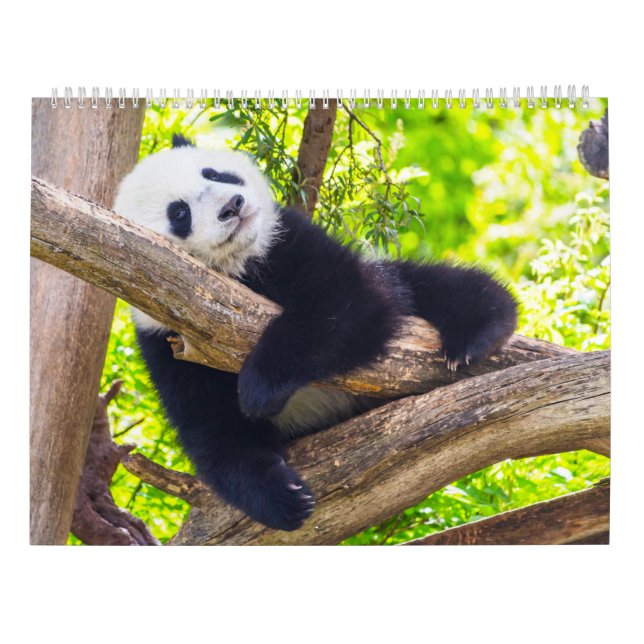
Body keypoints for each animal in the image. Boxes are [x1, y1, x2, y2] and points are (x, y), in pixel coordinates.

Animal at [113, 134, 518, 531]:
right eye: (179, 213)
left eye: (213, 173)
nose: (233, 204)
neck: (239, 271)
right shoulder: (169, 337)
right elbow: (215, 429)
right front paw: (284, 497)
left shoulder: (286, 241)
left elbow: (350, 303)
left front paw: (258, 389)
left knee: (428, 284)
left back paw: (477, 329)